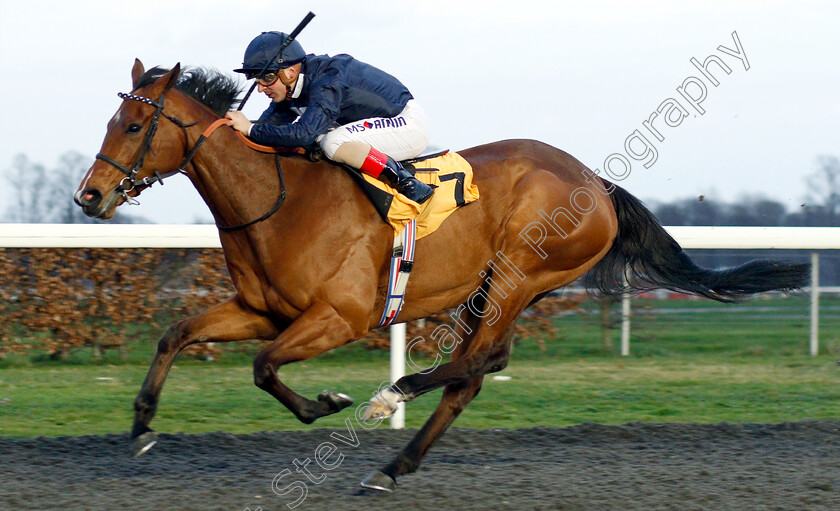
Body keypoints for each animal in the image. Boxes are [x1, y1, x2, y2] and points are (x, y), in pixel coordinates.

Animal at [75, 62, 812, 494]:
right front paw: (141, 428)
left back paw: (390, 397)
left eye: (134, 124)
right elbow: (176, 333)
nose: (89, 195)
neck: (278, 198)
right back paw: (393, 465)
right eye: (110, 119)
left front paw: (328, 402)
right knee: (472, 375)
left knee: (484, 359)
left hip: (519, 275)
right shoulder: (264, 310)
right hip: (494, 287)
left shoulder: (338, 317)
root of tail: (595, 183)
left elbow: (262, 366)